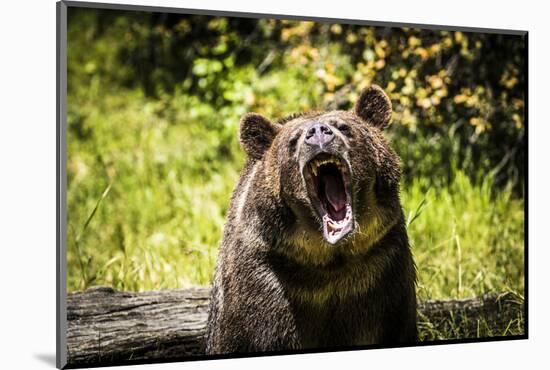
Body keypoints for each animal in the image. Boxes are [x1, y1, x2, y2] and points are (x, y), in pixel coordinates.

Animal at [206, 84, 418, 356]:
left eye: (344, 128)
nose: (318, 132)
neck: (327, 260)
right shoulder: (266, 280)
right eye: (292, 141)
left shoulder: (382, 271)